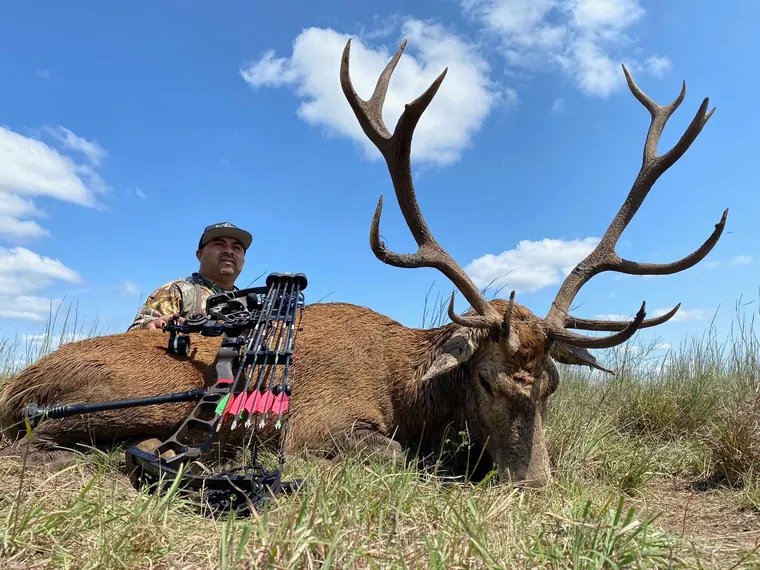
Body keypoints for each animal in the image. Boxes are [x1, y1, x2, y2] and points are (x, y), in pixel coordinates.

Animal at [0, 38, 726, 489]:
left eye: (552, 384)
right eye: (486, 379)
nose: (536, 482)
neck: (413, 392)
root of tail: (15, 387)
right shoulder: (318, 428)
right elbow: (395, 454)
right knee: (41, 444)